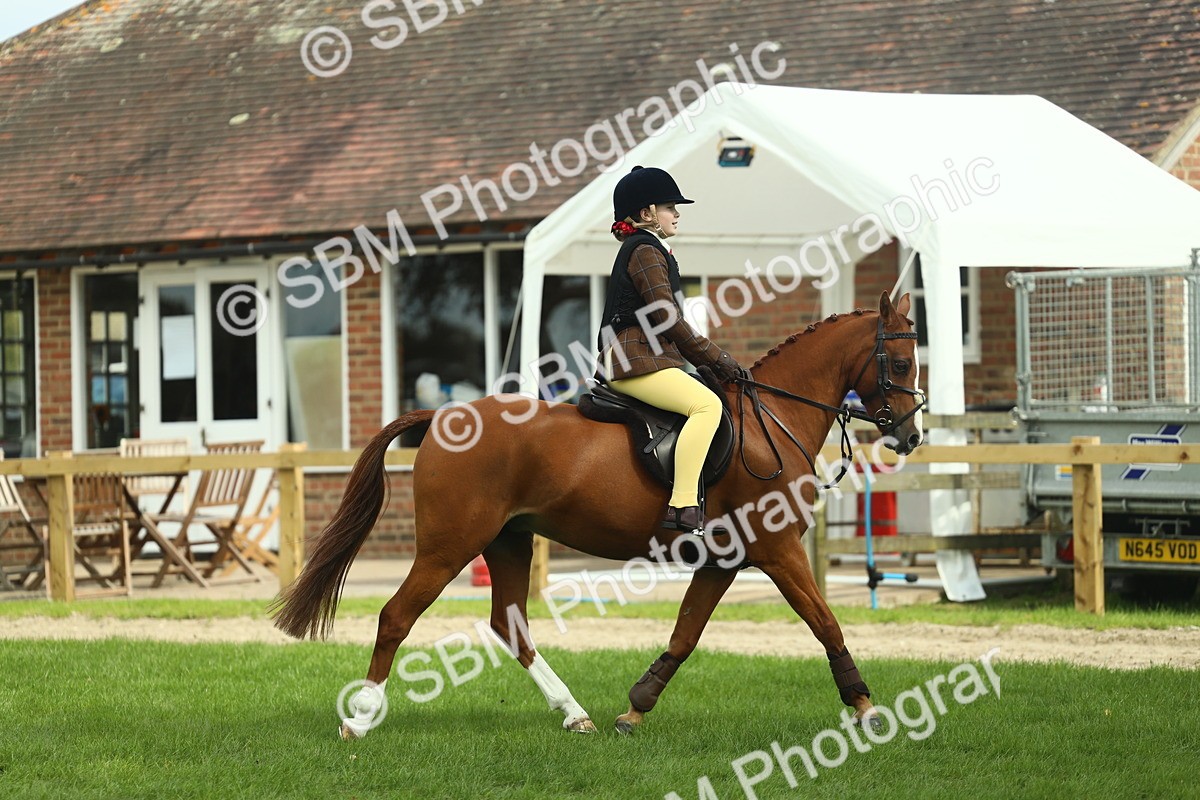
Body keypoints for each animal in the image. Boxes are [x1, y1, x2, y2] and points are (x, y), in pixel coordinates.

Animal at [271, 291, 926, 740]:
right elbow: (826, 623)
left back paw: (574, 714)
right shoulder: (777, 549)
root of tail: (441, 419)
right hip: (448, 545)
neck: (769, 423)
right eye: (900, 361)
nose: (911, 434)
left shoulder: (725, 560)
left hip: (507, 541)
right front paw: (867, 707)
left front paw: (635, 709)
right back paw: (359, 719)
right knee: (396, 617)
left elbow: (685, 634)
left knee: (510, 626)